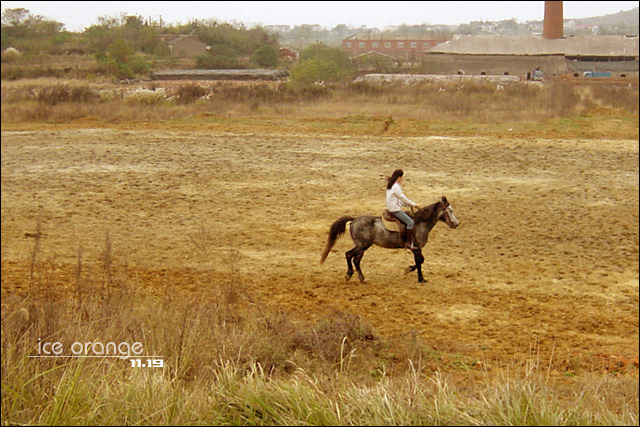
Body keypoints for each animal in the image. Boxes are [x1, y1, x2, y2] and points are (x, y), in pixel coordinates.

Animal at [318, 197, 458, 284]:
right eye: (450, 210)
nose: (456, 224)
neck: (420, 222)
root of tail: (354, 219)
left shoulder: (416, 249)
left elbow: (420, 261)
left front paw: (408, 269)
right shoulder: (416, 247)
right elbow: (419, 261)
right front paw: (420, 278)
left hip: (361, 246)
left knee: (351, 257)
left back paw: (352, 276)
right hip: (362, 246)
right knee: (352, 258)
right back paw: (359, 277)